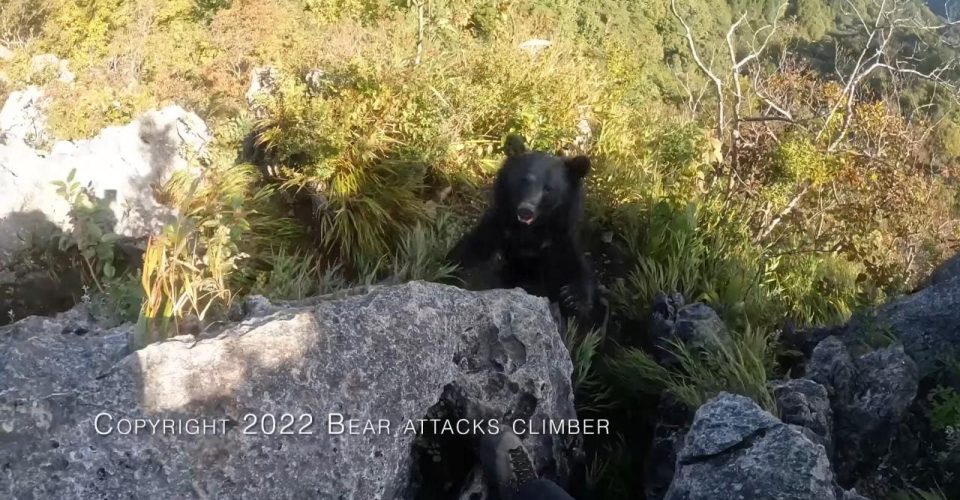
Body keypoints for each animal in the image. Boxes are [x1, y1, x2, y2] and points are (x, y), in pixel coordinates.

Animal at [447, 135, 600, 325]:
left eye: (548, 189)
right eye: (524, 180)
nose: (526, 210)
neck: (529, 233)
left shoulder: (559, 242)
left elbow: (573, 271)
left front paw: (572, 298)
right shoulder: (496, 229)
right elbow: (467, 259)